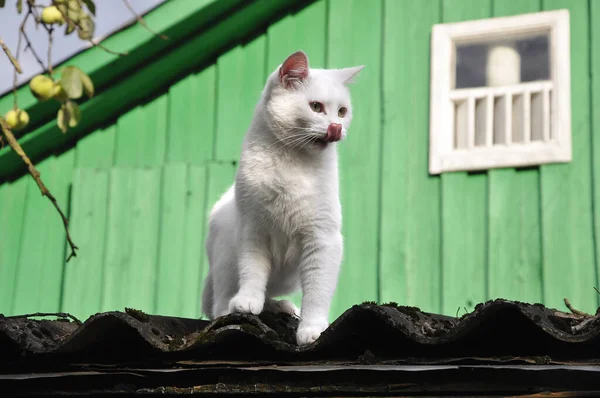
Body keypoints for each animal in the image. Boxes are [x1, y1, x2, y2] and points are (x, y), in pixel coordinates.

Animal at [202, 51, 364, 346]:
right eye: (316, 107)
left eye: (342, 111)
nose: (336, 127)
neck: (293, 162)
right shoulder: (253, 230)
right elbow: (253, 271)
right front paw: (247, 301)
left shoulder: (322, 239)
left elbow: (317, 290)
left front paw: (312, 328)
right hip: (224, 258)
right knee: (219, 301)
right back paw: (236, 307)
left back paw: (281, 306)